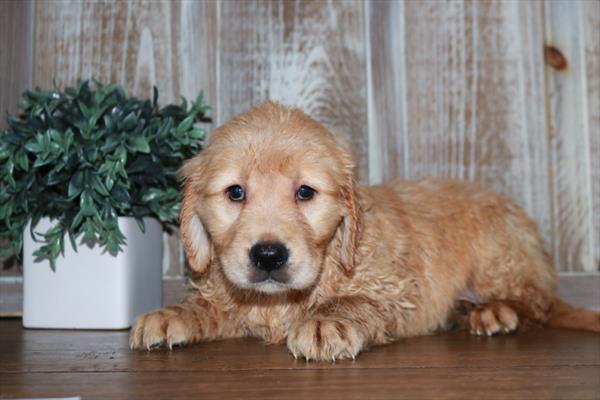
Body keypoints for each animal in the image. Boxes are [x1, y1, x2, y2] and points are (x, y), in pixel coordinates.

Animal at [131, 101, 600, 360]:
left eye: (305, 192)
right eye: (235, 192)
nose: (268, 255)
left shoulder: (395, 290)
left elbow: (357, 302)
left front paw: (327, 322)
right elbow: (208, 304)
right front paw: (170, 316)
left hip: (499, 255)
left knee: (535, 303)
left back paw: (491, 312)